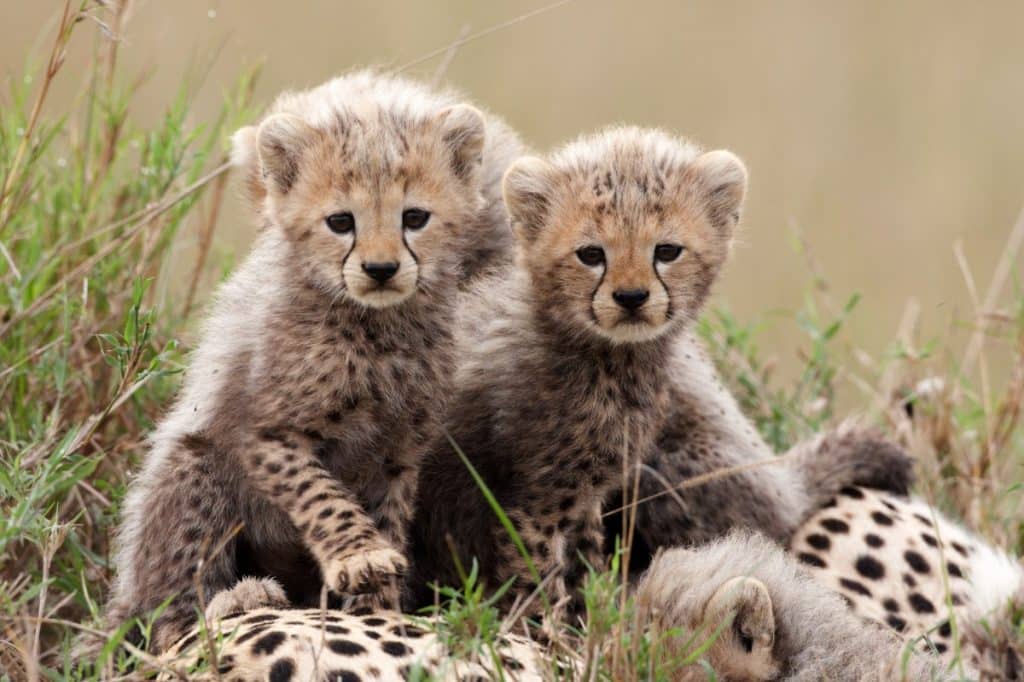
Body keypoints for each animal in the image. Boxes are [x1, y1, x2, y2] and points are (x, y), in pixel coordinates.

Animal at [97, 70, 525, 653]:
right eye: (340, 221)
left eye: (415, 218)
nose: (381, 269)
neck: (377, 329)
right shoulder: (269, 435)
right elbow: (322, 495)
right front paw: (360, 556)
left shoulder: (398, 452)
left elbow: (387, 519)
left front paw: (376, 605)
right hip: (193, 470)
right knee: (170, 610)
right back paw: (238, 598)